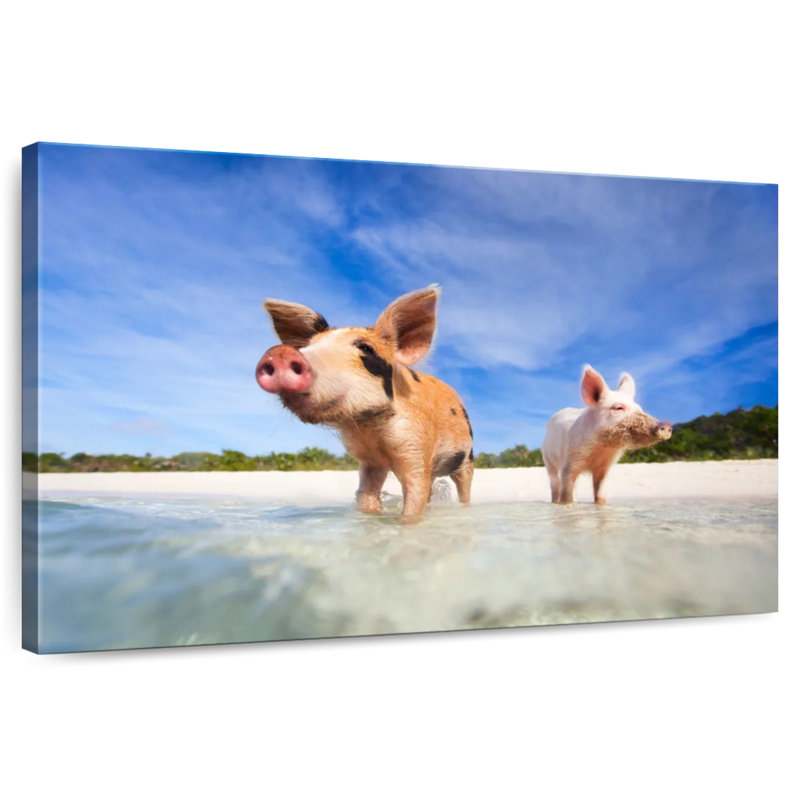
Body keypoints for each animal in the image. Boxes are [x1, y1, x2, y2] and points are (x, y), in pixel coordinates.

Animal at [255, 285, 474, 519]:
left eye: (366, 349)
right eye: (309, 346)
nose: (279, 353)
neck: (370, 429)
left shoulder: (416, 444)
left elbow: (414, 498)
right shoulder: (370, 461)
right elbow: (367, 495)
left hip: (467, 457)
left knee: (463, 488)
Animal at [542, 365, 672, 505]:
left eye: (639, 408)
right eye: (619, 408)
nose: (667, 425)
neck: (602, 448)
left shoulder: (605, 466)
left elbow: (600, 493)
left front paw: (600, 505)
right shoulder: (570, 460)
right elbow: (566, 492)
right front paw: (567, 504)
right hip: (548, 459)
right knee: (555, 485)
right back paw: (555, 501)